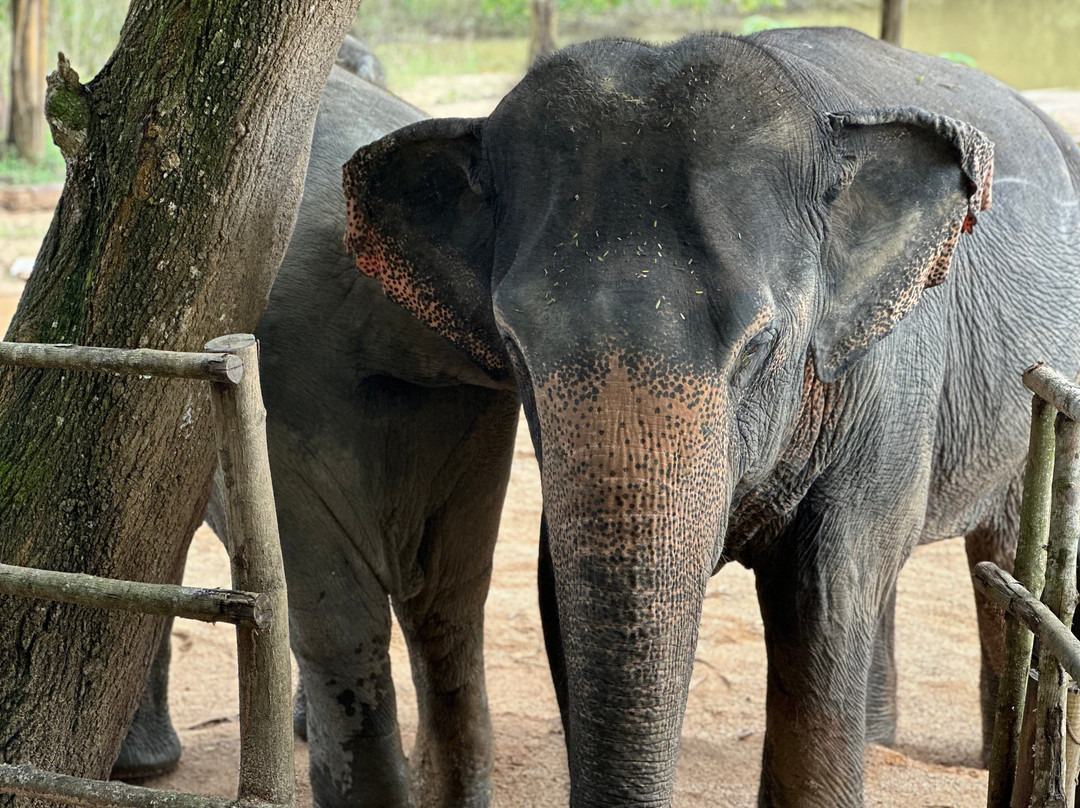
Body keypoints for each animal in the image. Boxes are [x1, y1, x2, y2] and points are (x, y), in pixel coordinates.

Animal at [342, 27, 1080, 807]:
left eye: (761, 345)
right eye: (512, 345)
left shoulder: (893, 372)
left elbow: (825, 589)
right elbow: (556, 589)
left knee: (995, 552)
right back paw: (882, 741)